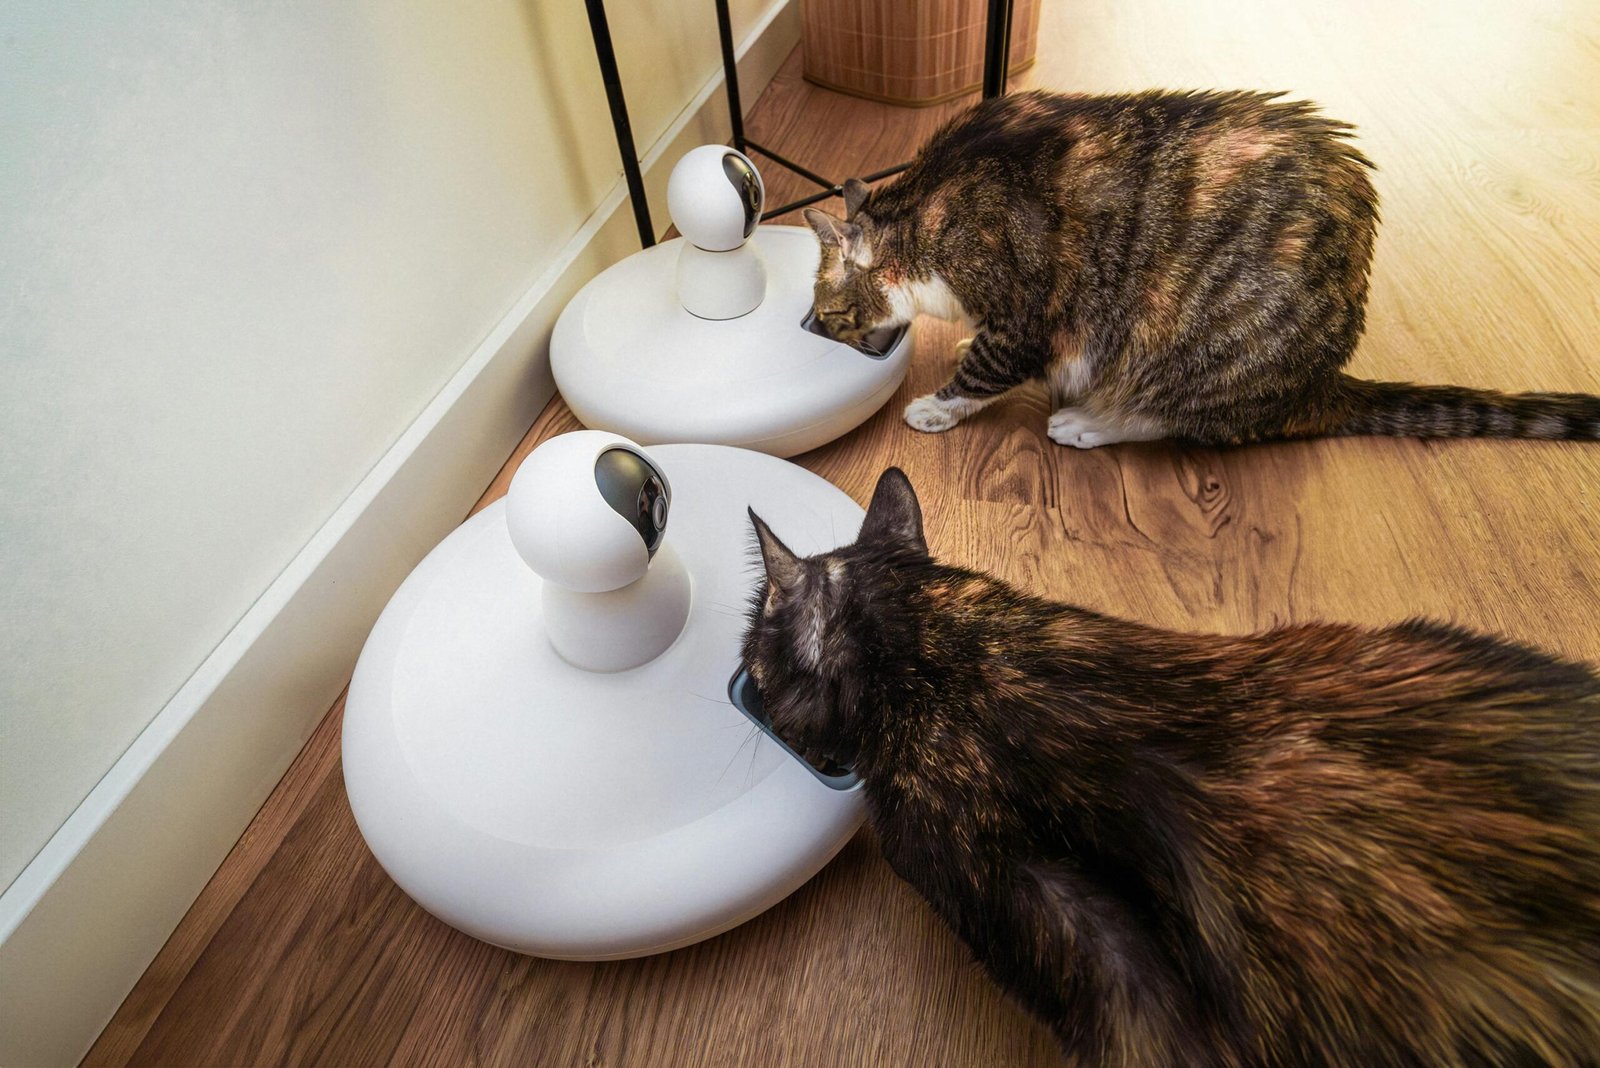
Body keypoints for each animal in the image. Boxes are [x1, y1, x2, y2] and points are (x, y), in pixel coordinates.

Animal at [806, 86, 1600, 447]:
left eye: (830, 312)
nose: (816, 329)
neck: (922, 217)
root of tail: (1316, 387)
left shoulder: (1027, 309)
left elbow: (989, 368)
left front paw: (938, 405)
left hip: (1180, 346)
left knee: (1171, 419)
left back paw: (1089, 423)